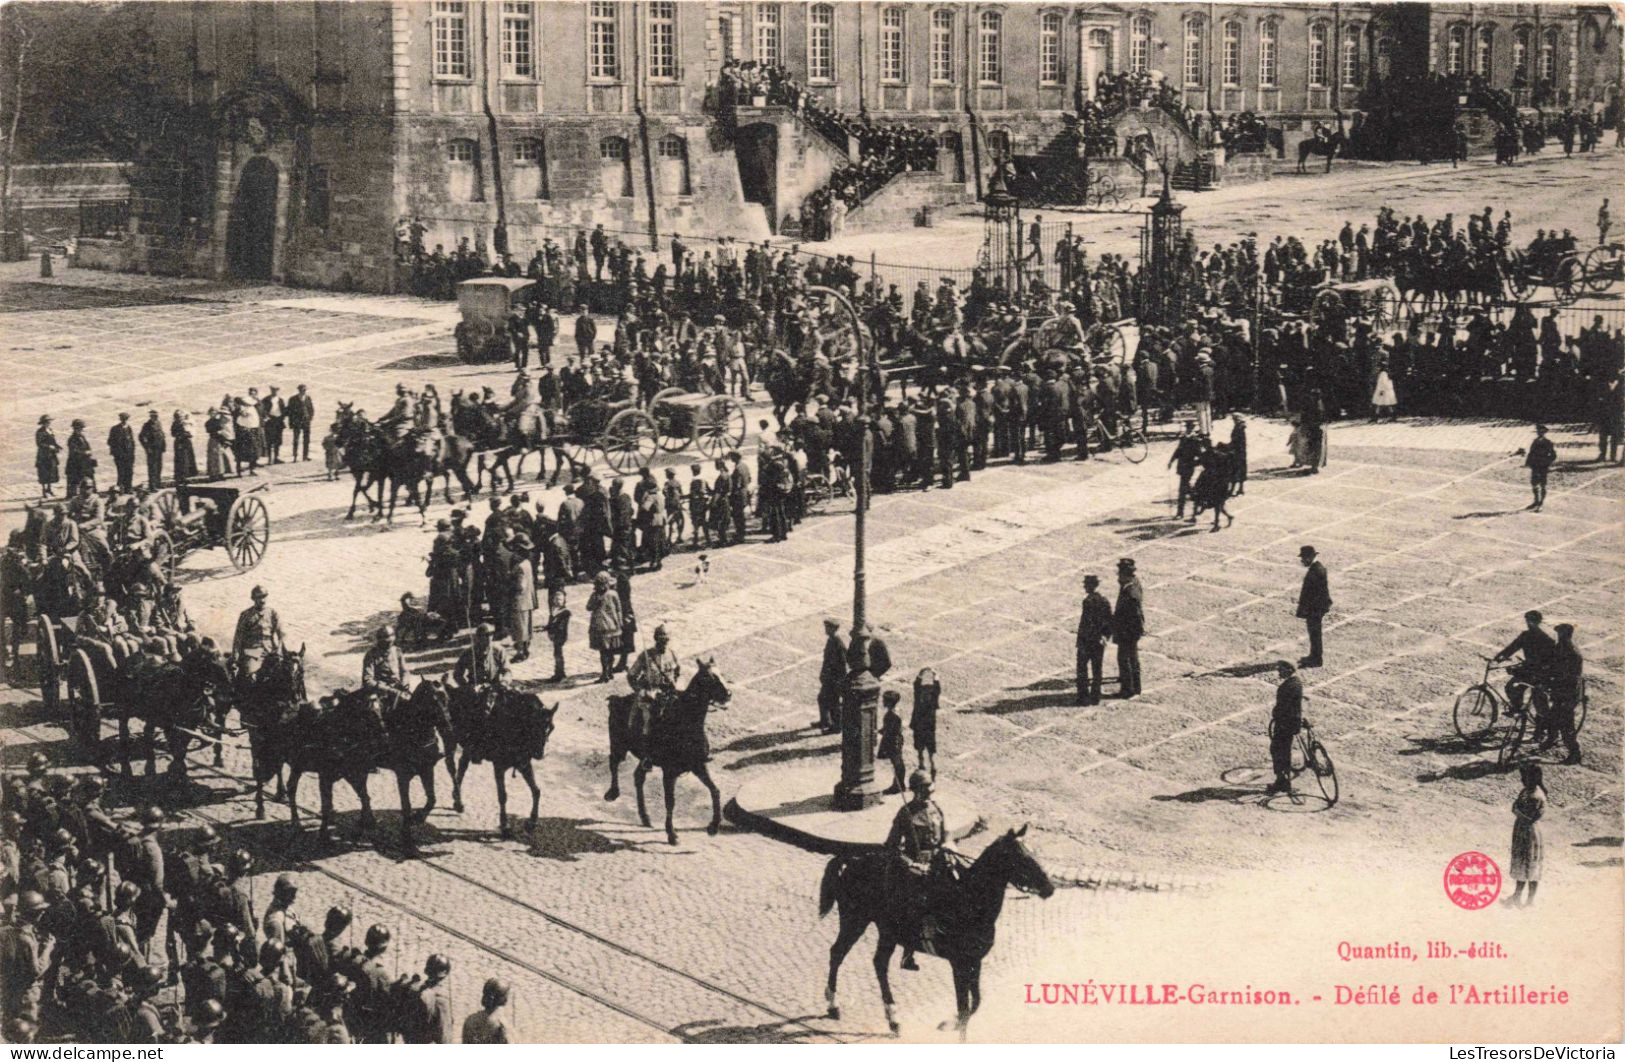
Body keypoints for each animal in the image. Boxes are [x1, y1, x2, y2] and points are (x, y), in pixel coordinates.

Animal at [445, 682, 559, 837]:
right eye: (532, 725)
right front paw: (505, 825)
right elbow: (502, 795)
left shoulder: (524, 763)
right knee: (451, 766)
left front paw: (532, 821)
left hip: (468, 745)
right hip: (451, 738)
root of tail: (453, 690)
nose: (539, 753)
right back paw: (457, 799)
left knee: (463, 764)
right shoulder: (498, 765)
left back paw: (457, 799)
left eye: (551, 728)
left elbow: (536, 790)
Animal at [604, 665, 731, 850]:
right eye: (709, 677)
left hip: (644, 759)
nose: (728, 694)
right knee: (613, 763)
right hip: (619, 746)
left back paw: (645, 816)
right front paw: (672, 835)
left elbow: (715, 790)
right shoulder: (669, 772)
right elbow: (670, 801)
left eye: (721, 673)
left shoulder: (698, 765)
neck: (686, 722)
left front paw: (713, 827)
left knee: (638, 776)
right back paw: (613, 793)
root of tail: (616, 700)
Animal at [819, 828, 1059, 1045]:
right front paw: (957, 1030)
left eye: (1032, 853)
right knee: (837, 953)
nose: (1050, 887)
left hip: (887, 932)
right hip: (855, 921)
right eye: (1022, 858)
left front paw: (949, 1023)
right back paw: (834, 1005)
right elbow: (964, 1008)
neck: (969, 900)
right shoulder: (959, 964)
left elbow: (975, 1002)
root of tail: (848, 860)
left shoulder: (975, 961)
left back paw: (892, 1019)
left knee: (878, 963)